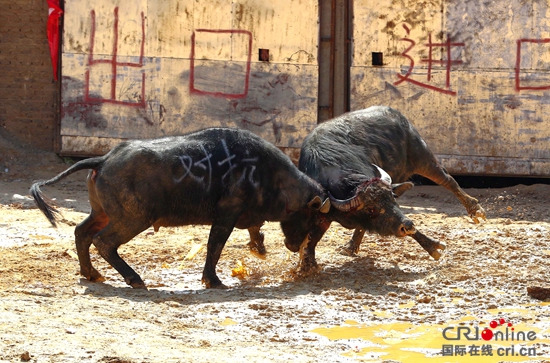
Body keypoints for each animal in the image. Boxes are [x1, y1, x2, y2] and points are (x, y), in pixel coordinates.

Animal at [30, 129, 330, 290]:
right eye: (313, 218)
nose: (296, 247)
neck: (267, 172)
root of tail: (102, 159)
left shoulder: (243, 214)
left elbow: (254, 229)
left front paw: (259, 249)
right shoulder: (226, 215)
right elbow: (215, 246)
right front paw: (213, 280)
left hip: (102, 213)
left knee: (82, 232)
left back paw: (91, 273)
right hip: (133, 219)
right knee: (103, 241)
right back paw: (134, 278)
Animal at [288, 105, 488, 270]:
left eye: (393, 200)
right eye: (370, 209)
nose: (406, 225)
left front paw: (432, 246)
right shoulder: (324, 212)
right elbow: (313, 236)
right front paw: (307, 265)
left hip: (423, 156)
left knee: (448, 180)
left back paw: (475, 209)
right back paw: (351, 246)